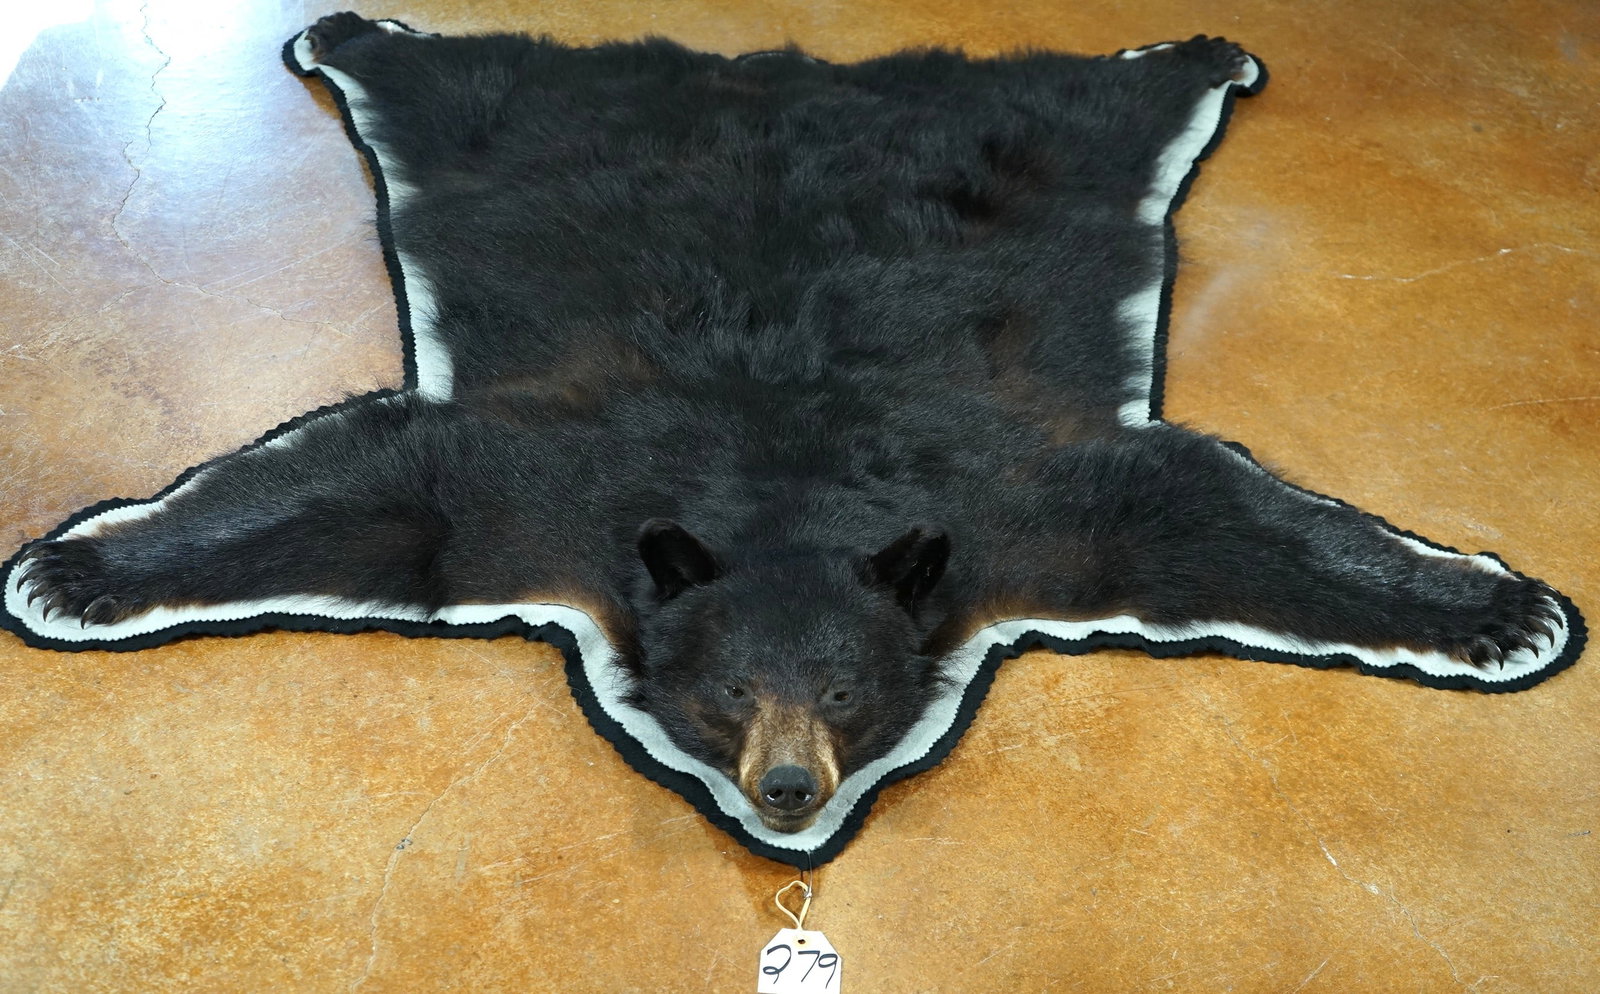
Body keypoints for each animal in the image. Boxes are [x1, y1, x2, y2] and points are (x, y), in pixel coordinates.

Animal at [7, 14, 1576, 836]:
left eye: (841, 693)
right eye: (726, 694)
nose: (784, 791)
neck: (788, 500)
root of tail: (775, 67)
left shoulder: (1017, 511)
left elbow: (1180, 508)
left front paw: (1495, 608)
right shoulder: (558, 488)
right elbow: (395, 481)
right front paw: (77, 567)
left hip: (1049, 146)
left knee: (1089, 95)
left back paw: (1190, 48)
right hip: (508, 128)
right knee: (463, 80)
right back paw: (353, 29)